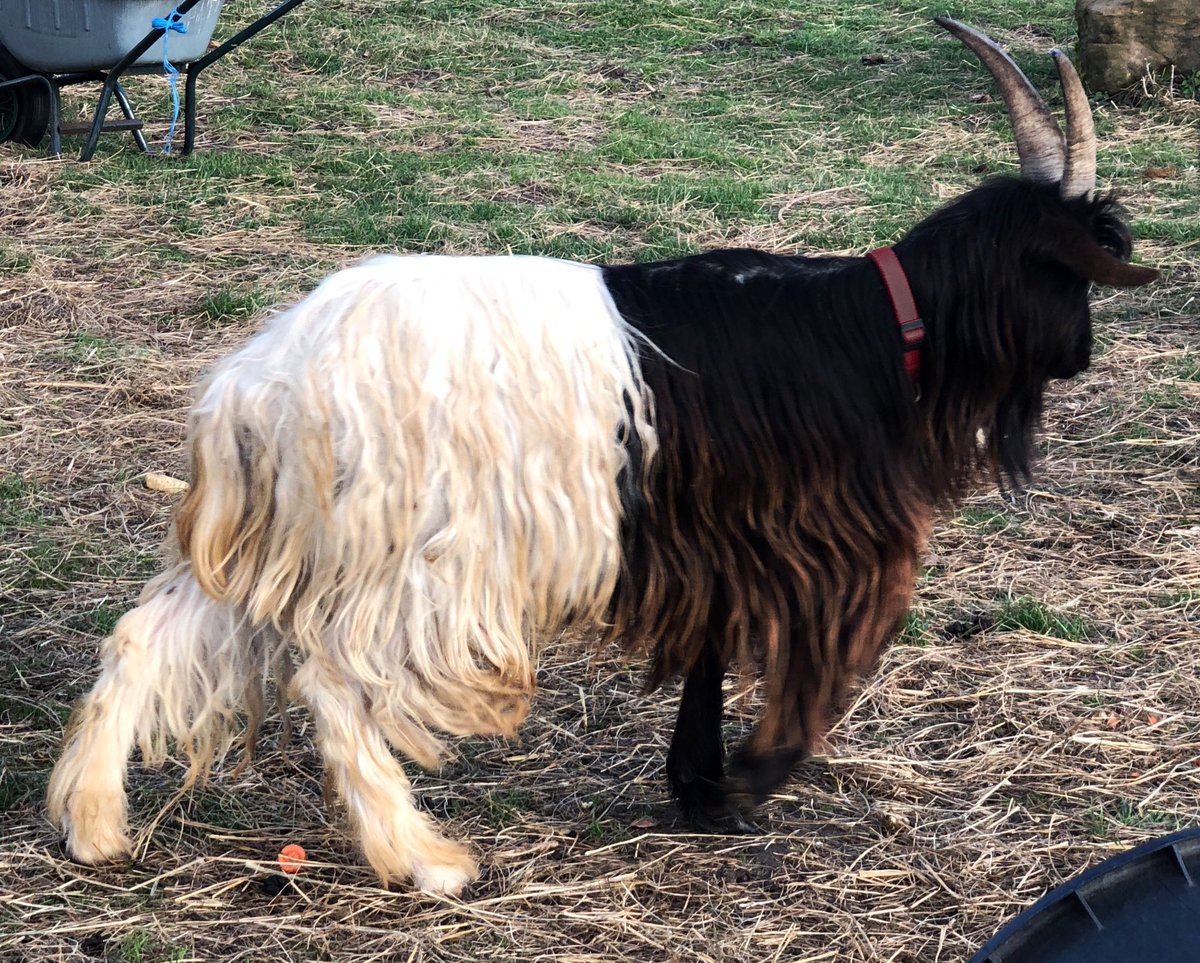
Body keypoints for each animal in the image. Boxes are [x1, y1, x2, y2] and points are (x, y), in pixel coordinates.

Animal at [48, 19, 1157, 894]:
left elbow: (711, 649)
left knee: (148, 633)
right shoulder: (813, 543)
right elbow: (818, 667)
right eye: (1076, 271)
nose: (1082, 353)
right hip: (406, 553)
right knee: (336, 681)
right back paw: (421, 859)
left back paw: (95, 824)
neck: (878, 327)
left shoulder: (715, 542)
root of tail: (260, 383)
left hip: (287, 538)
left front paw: (701, 788)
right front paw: (754, 773)